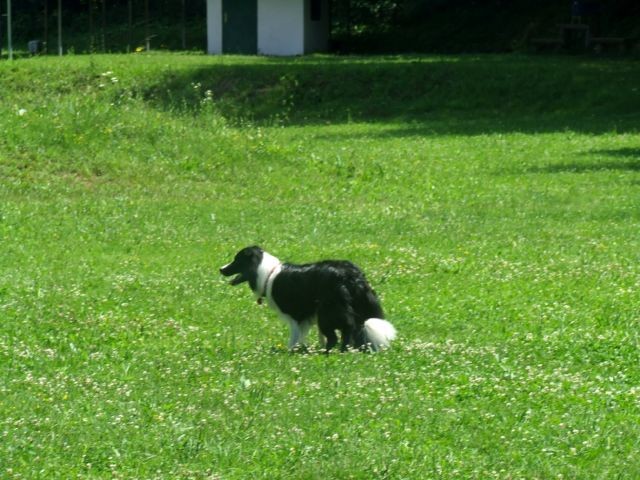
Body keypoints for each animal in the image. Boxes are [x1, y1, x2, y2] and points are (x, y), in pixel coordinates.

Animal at [220, 246, 396, 350]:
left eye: (236, 260)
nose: (221, 269)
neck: (267, 273)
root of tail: (352, 275)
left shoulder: (295, 313)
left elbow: (295, 335)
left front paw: (291, 351)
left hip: (330, 311)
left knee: (343, 331)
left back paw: (333, 351)